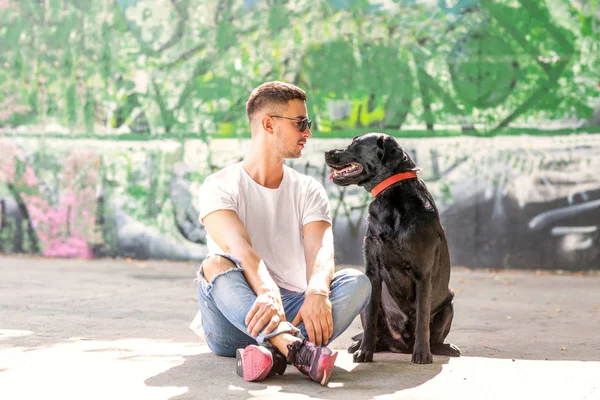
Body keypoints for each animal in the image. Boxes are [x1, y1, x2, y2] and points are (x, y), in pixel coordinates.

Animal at [324, 133, 460, 364]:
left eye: (354, 145)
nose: (327, 152)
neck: (391, 196)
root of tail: (400, 345)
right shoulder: (372, 271)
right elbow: (371, 320)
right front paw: (365, 352)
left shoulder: (423, 275)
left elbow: (422, 318)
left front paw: (422, 354)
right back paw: (362, 345)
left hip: (448, 306)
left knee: (435, 337)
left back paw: (445, 348)